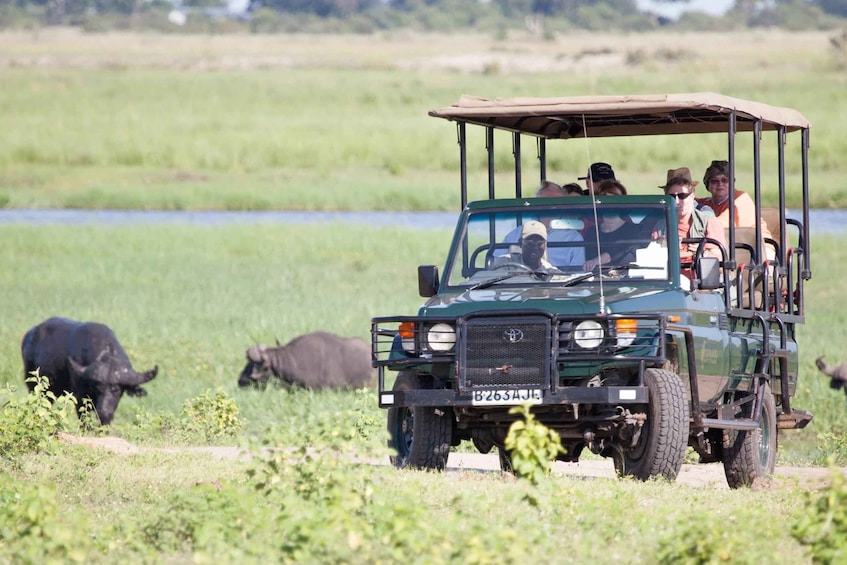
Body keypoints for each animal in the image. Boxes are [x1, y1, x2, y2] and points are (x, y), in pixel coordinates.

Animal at [22, 318, 159, 424]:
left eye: (116, 390)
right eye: (98, 388)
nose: (103, 412)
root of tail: (29, 335)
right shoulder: (80, 397)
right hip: (33, 384)